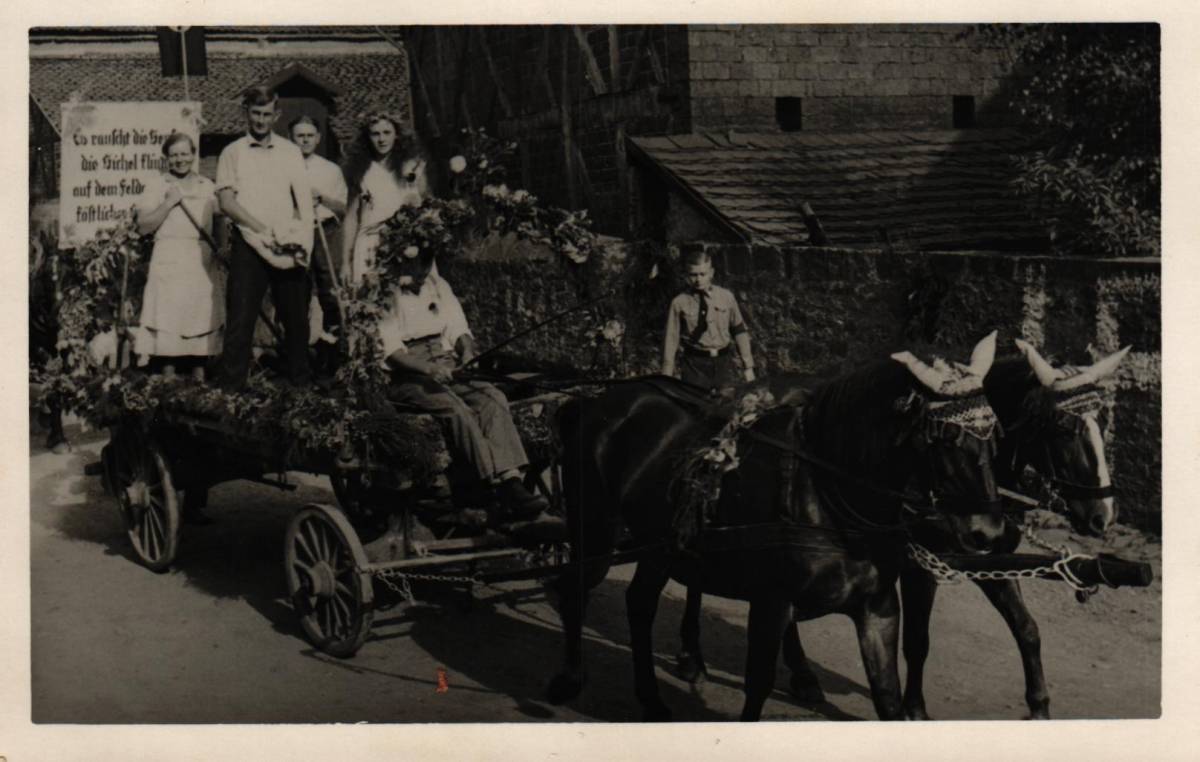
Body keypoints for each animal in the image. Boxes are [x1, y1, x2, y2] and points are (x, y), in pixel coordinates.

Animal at [545, 333, 1009, 721]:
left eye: (994, 435)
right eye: (944, 438)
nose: (986, 532)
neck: (828, 493)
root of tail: (597, 401)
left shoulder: (878, 609)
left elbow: (888, 699)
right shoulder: (771, 602)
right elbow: (758, 687)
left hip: (661, 545)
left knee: (639, 603)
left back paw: (652, 698)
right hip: (596, 530)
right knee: (575, 585)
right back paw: (569, 678)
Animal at [674, 340, 1132, 720]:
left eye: (1102, 420)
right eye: (1065, 428)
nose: (1103, 514)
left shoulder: (993, 560)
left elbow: (1027, 629)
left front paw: (1038, 704)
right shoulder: (918, 568)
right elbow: (917, 640)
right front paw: (915, 708)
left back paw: (802, 674)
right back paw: (691, 656)